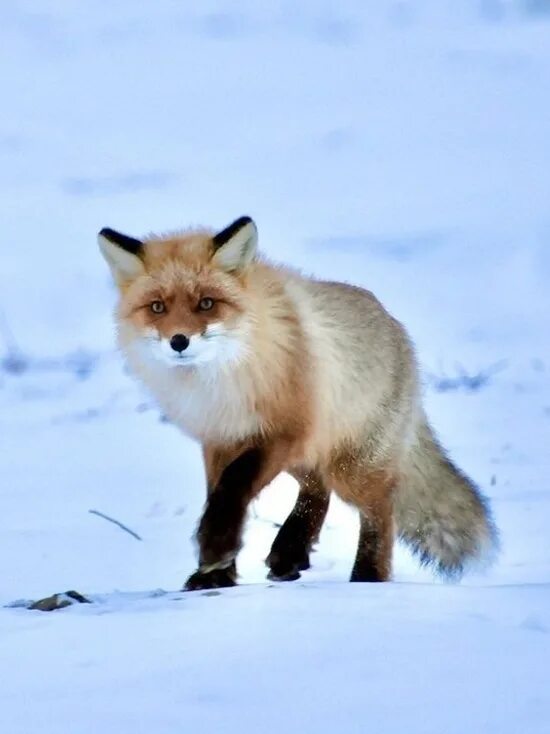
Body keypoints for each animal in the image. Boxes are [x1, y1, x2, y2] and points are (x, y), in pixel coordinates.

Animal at [99, 217, 500, 592]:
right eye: (157, 307)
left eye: (207, 303)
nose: (179, 341)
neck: (220, 383)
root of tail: (397, 328)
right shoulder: (219, 438)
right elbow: (219, 493)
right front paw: (217, 576)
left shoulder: (282, 430)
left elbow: (233, 487)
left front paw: (216, 547)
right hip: (311, 454)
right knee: (317, 488)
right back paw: (291, 550)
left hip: (349, 465)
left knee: (379, 507)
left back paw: (368, 577)